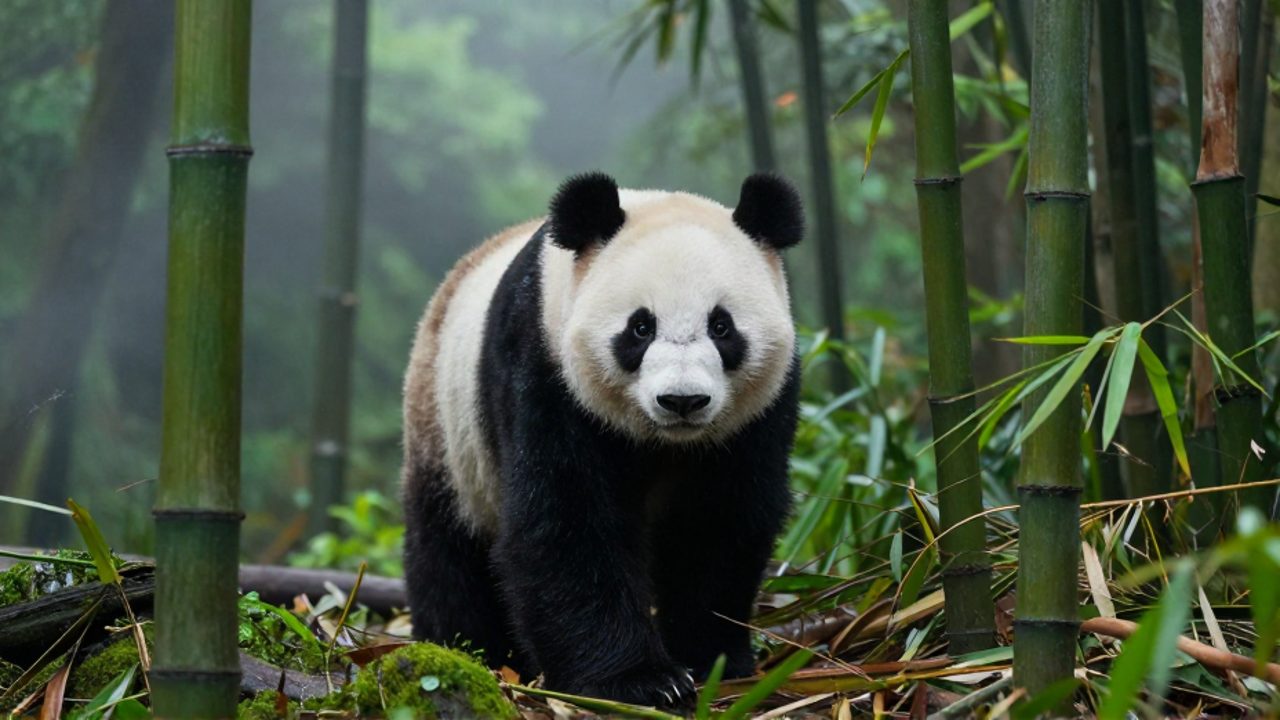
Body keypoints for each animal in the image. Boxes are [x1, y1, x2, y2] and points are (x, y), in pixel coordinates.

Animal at [401, 172, 803, 709]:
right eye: (640, 327)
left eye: (722, 326)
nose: (682, 400)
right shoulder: (543, 368)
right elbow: (565, 523)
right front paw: (638, 681)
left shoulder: (759, 415)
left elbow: (720, 522)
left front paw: (710, 658)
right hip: (446, 431)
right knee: (446, 549)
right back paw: (470, 647)